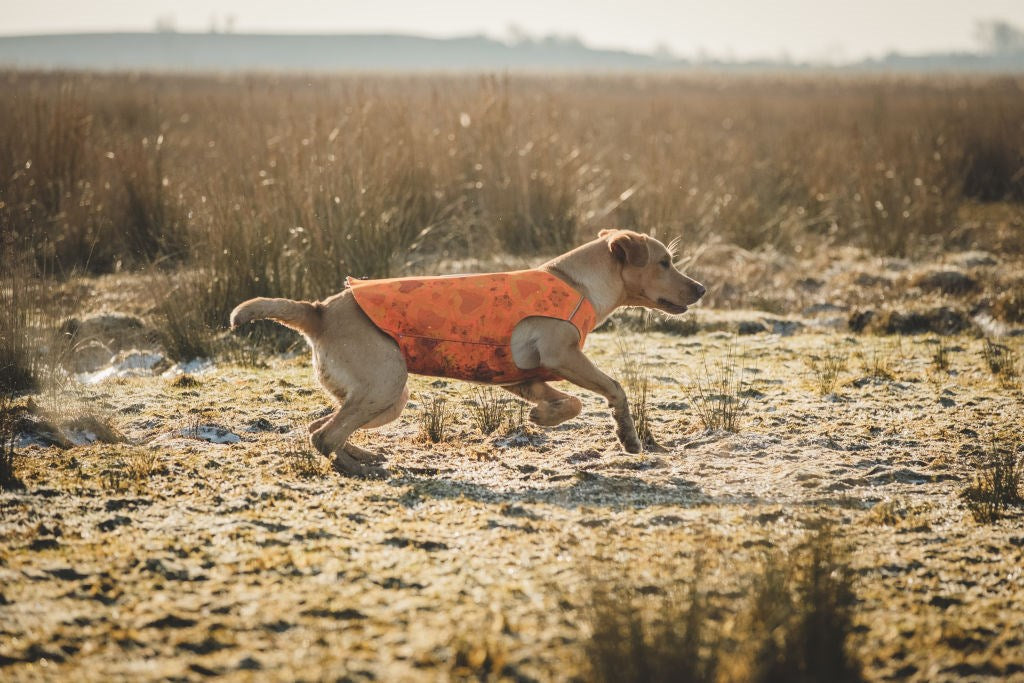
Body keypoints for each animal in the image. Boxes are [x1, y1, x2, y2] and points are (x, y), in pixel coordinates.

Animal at [233, 229, 708, 475]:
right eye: (664, 262)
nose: (701, 288)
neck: (577, 282)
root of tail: (318, 310)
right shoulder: (564, 356)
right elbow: (616, 390)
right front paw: (627, 436)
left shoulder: (525, 378)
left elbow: (568, 402)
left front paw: (544, 416)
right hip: (386, 386)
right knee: (325, 434)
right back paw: (363, 468)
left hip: (385, 398)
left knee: (320, 428)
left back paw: (363, 456)